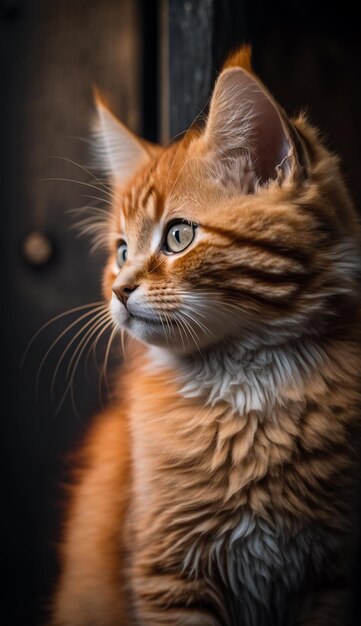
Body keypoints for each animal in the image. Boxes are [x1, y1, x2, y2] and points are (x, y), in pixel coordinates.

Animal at [50, 46, 360, 620]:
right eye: (121, 251)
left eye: (178, 237)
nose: (119, 290)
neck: (246, 394)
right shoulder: (169, 576)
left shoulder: (330, 576)